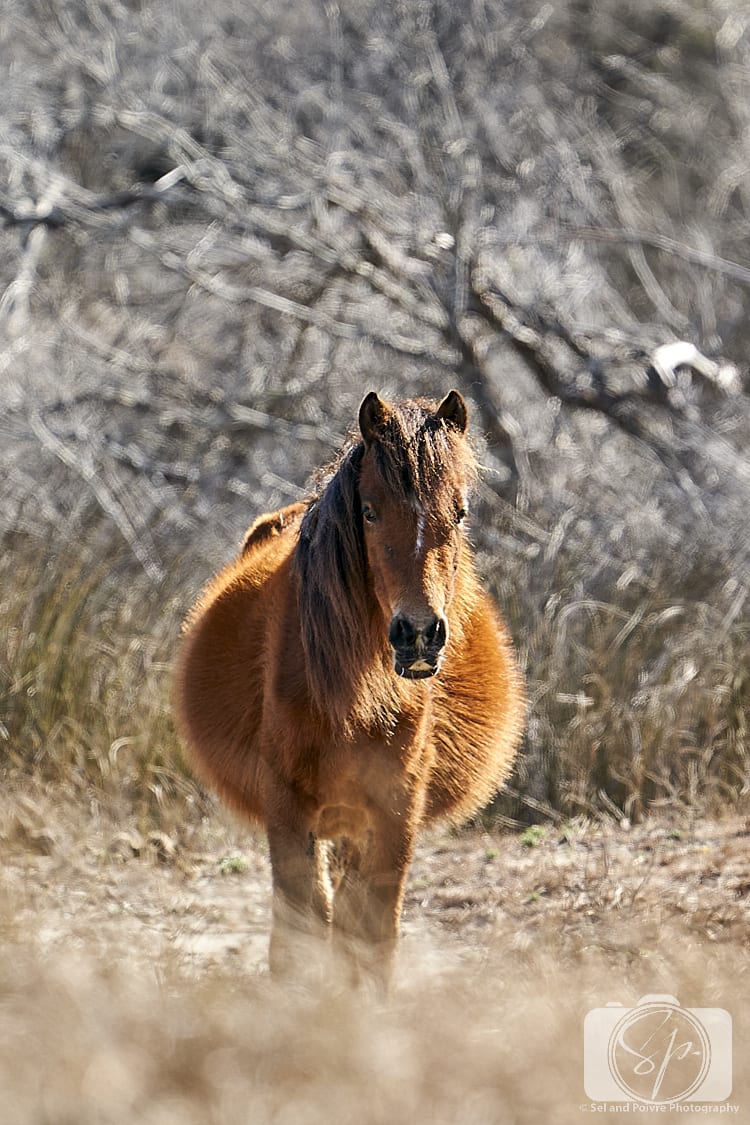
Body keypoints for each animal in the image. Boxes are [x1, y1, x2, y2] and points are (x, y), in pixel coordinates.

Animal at [175, 390, 525, 989]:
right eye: (369, 511)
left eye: (459, 512)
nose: (418, 634)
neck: (355, 699)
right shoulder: (288, 808)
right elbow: (301, 935)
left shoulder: (394, 811)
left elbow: (370, 937)